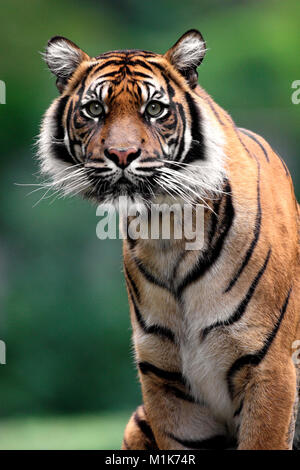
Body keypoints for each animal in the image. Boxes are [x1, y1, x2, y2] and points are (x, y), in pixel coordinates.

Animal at [38, 30, 300, 452]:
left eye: (155, 109)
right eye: (94, 109)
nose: (122, 154)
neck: (167, 230)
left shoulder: (270, 367)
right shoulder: (165, 378)